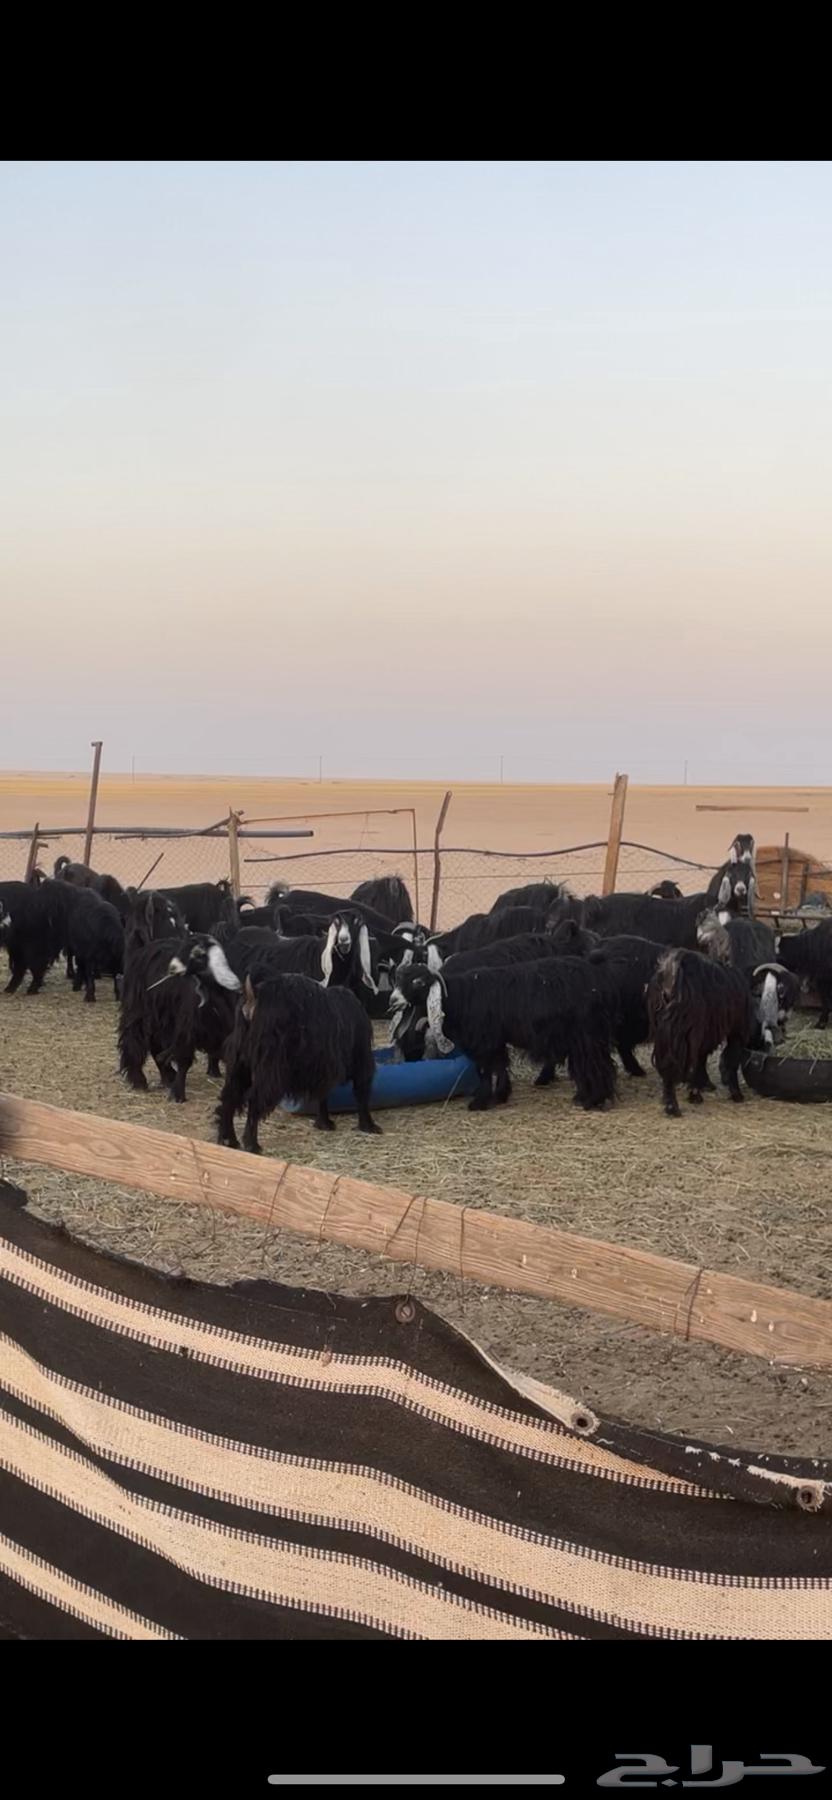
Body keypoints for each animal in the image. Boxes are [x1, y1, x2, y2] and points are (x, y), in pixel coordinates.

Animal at [118, 932, 240, 1101]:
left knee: (155, 1045)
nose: (172, 968)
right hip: (140, 1011)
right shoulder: (187, 1029)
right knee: (134, 1041)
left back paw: (167, 1076)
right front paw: (177, 1095)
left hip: (162, 1018)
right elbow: (184, 1060)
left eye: (197, 954)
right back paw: (140, 1080)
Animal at [217, 971, 380, 1147]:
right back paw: (252, 1145)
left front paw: (323, 1123)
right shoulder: (362, 1059)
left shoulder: (322, 1068)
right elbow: (361, 1094)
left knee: (228, 1099)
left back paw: (229, 1140)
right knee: (254, 1101)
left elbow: (323, 1095)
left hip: (239, 1065)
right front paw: (368, 1126)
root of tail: (252, 997)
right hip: (271, 1070)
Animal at [388, 960, 616, 1112]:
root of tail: (600, 985)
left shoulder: (484, 1041)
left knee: (596, 1064)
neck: (460, 997)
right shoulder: (494, 1039)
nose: (393, 1000)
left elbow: (485, 1070)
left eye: (418, 982)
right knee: (585, 1064)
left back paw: (594, 1100)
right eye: (398, 980)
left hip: (586, 1033)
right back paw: (583, 1096)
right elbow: (499, 1066)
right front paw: (500, 1096)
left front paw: (480, 1102)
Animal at [647, 949, 755, 1116]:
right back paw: (680, 1103)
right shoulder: (736, 1031)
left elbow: (702, 1058)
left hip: (665, 1028)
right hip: (689, 1029)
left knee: (667, 1061)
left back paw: (671, 1101)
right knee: (683, 1061)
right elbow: (730, 1060)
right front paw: (736, 1094)